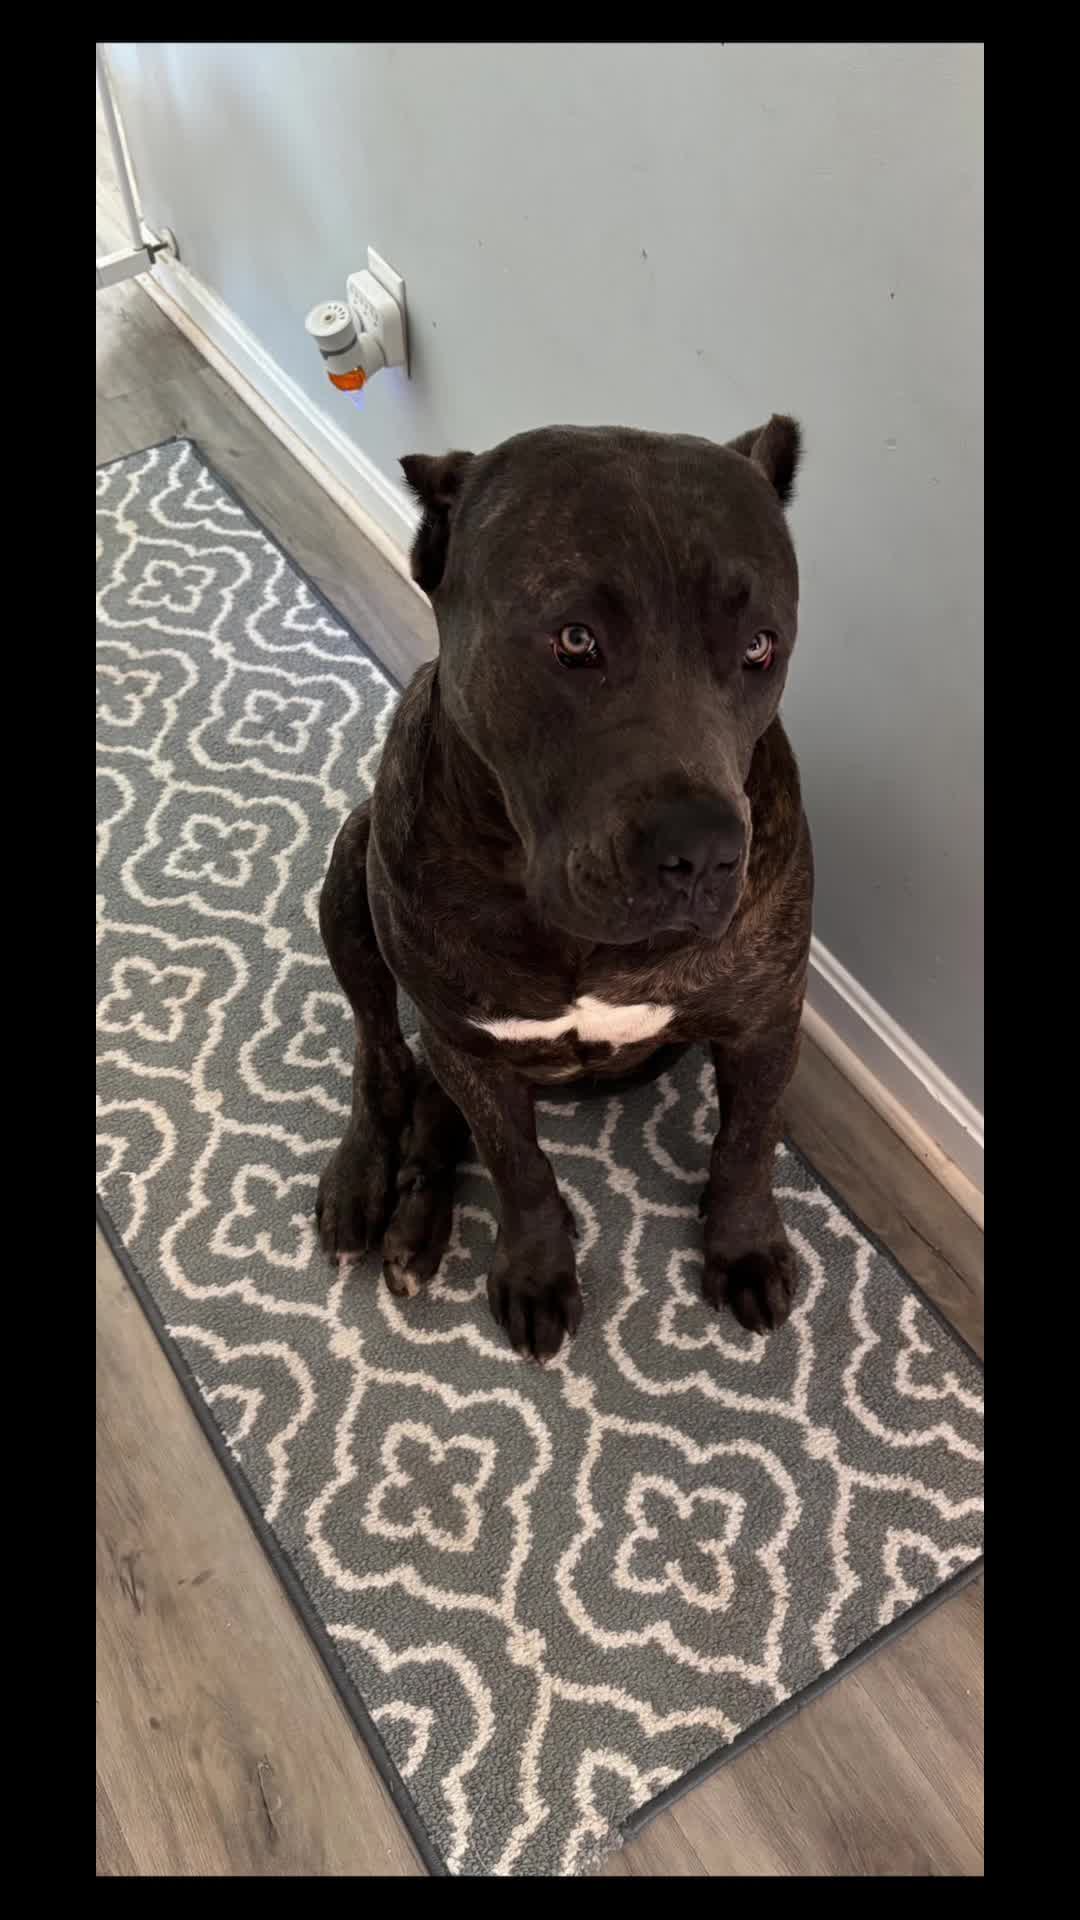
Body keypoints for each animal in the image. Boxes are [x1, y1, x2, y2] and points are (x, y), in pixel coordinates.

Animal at [316, 418, 813, 1361]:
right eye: (575, 640)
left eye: (759, 646)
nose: (703, 851)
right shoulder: (472, 1046)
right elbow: (521, 1169)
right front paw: (536, 1272)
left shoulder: (765, 1019)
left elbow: (748, 1144)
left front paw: (743, 1248)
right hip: (350, 882)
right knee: (385, 1055)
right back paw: (365, 1186)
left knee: (430, 1099)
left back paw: (416, 1223)